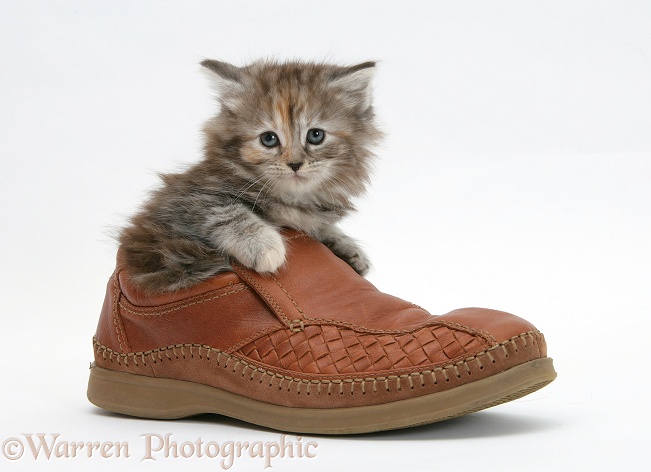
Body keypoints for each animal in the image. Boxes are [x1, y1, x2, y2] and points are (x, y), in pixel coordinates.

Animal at [119, 59, 382, 294]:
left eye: (316, 135)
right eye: (269, 139)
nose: (295, 164)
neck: (291, 198)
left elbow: (321, 227)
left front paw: (348, 248)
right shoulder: (181, 200)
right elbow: (226, 211)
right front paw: (264, 246)